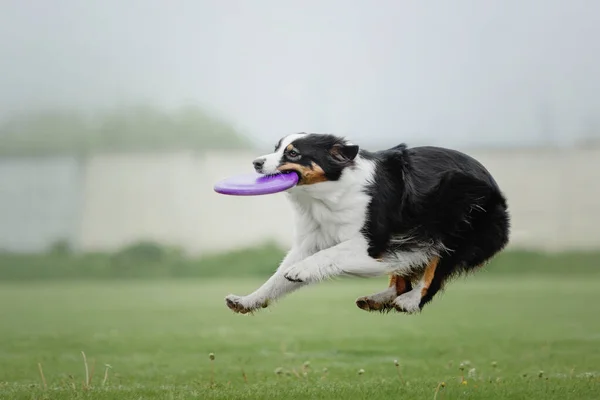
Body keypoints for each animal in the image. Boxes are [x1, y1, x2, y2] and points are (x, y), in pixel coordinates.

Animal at [225, 133, 510, 314]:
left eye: (293, 153)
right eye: (276, 148)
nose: (256, 162)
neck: (327, 195)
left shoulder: (370, 243)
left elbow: (328, 255)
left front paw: (301, 271)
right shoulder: (311, 240)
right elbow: (276, 279)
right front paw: (247, 301)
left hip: (457, 222)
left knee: (435, 271)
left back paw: (411, 301)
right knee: (402, 279)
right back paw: (379, 299)